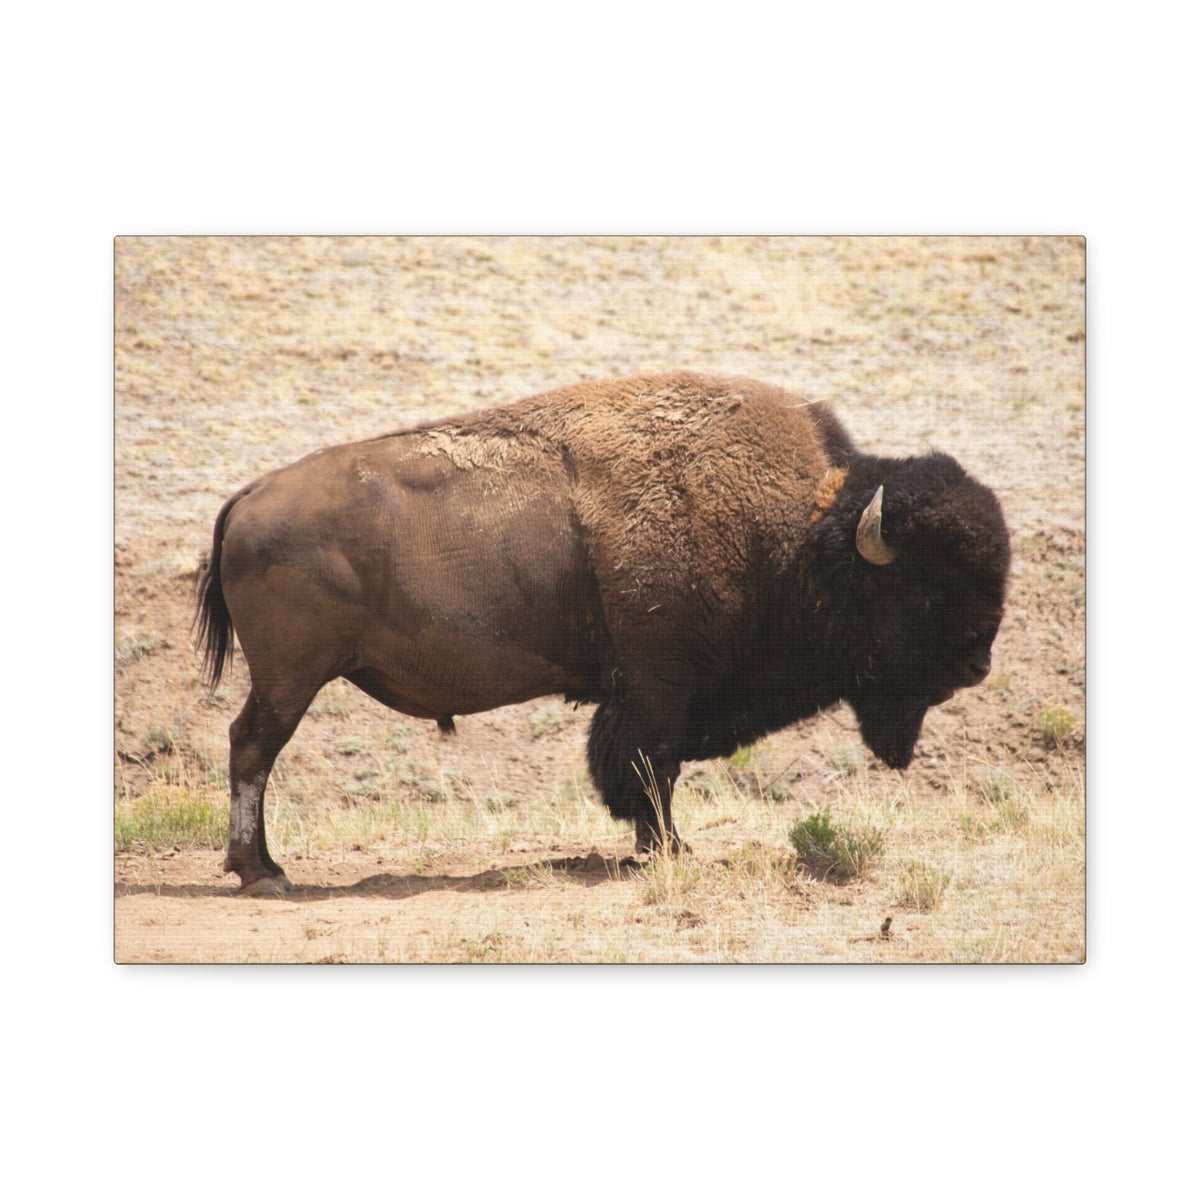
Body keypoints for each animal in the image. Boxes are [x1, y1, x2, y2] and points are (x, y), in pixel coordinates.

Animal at [195, 372, 1009, 893]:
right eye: (924, 592)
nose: (977, 664)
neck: (802, 536)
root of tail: (248, 497)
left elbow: (652, 771)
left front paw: (662, 847)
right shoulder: (658, 688)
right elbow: (648, 768)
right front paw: (669, 849)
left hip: (290, 676)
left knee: (249, 747)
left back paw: (262, 868)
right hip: (291, 677)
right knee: (252, 748)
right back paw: (263, 873)